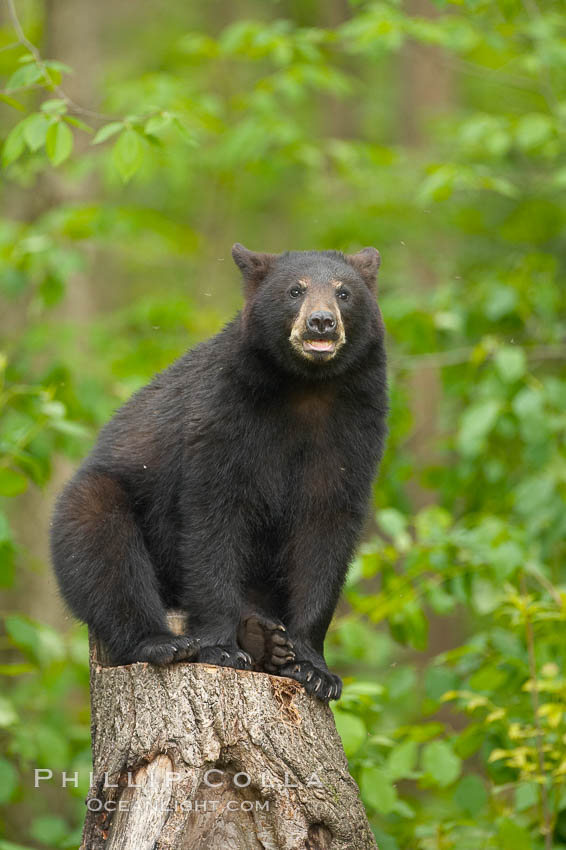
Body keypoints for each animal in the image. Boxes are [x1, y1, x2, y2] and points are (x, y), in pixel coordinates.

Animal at [50, 242, 390, 700]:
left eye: (344, 292)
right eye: (295, 290)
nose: (321, 322)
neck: (305, 389)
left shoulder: (352, 432)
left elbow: (325, 533)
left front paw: (315, 669)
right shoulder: (223, 416)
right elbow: (212, 521)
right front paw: (222, 649)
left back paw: (265, 638)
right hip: (95, 500)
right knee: (104, 554)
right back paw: (166, 642)